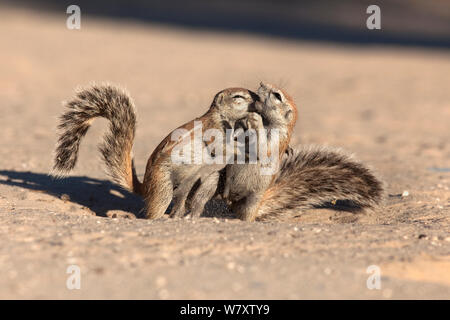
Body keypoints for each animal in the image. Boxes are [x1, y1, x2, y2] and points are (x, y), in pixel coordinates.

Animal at [53, 84, 258, 219]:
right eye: (238, 97)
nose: (258, 100)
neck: (223, 118)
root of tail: (144, 186)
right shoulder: (213, 130)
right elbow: (222, 148)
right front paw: (245, 149)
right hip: (163, 185)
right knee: (156, 209)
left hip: (202, 180)